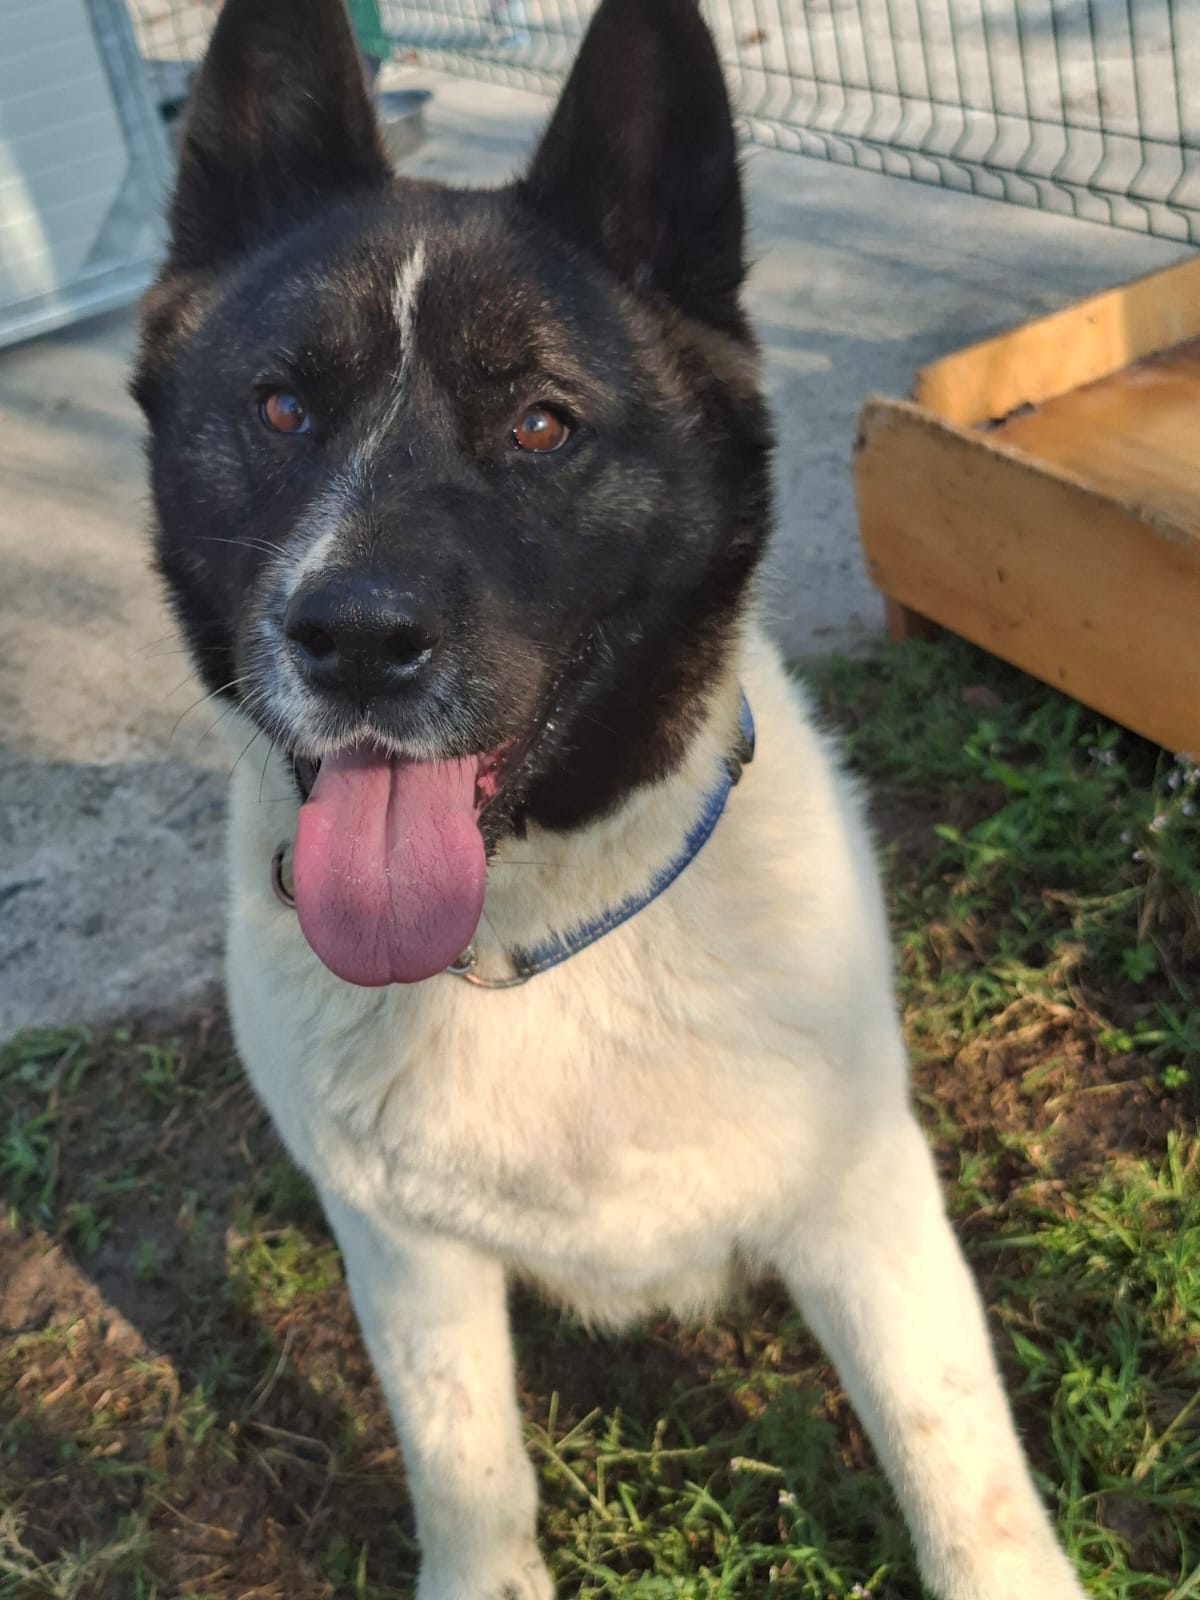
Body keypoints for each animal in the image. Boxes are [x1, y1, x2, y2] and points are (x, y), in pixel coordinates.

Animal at [133, 1, 1087, 1594]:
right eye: (278, 407)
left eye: (539, 424)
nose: (352, 642)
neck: (534, 940)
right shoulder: (411, 1260)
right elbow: (468, 1467)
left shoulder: (863, 1206)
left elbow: (959, 1468)